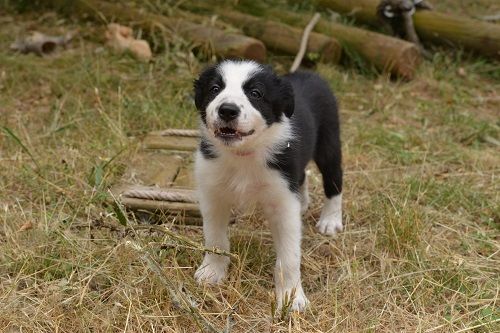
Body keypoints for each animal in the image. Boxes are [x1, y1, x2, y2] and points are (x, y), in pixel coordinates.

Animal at [193, 59, 342, 312]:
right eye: (214, 89)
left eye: (256, 93)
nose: (227, 110)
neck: (243, 153)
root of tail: (310, 74)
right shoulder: (213, 195)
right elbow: (215, 238)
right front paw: (212, 271)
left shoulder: (283, 201)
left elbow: (289, 257)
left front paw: (292, 297)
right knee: (301, 175)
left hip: (329, 142)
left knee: (334, 180)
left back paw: (331, 220)